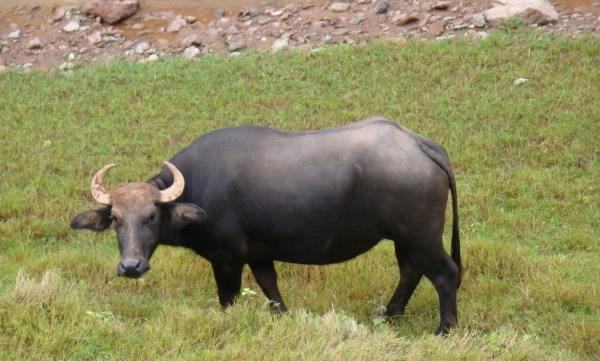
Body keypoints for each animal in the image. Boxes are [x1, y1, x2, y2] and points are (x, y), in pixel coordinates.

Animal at [71, 116, 464, 334]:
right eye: (116, 219)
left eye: (151, 215)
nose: (131, 266)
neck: (199, 185)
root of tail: (418, 143)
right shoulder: (259, 254)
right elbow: (270, 286)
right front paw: (284, 316)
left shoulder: (227, 259)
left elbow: (228, 298)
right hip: (403, 237)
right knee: (411, 271)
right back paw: (390, 313)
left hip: (421, 233)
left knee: (445, 273)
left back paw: (444, 329)